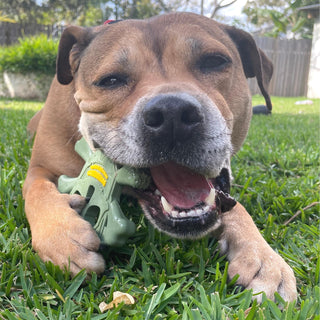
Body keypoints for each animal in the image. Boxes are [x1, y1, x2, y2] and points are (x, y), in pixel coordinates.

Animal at [23, 12, 296, 302]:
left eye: (214, 61)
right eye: (111, 80)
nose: (172, 113)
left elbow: (238, 208)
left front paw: (264, 257)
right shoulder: (40, 167)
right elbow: (37, 191)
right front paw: (62, 237)